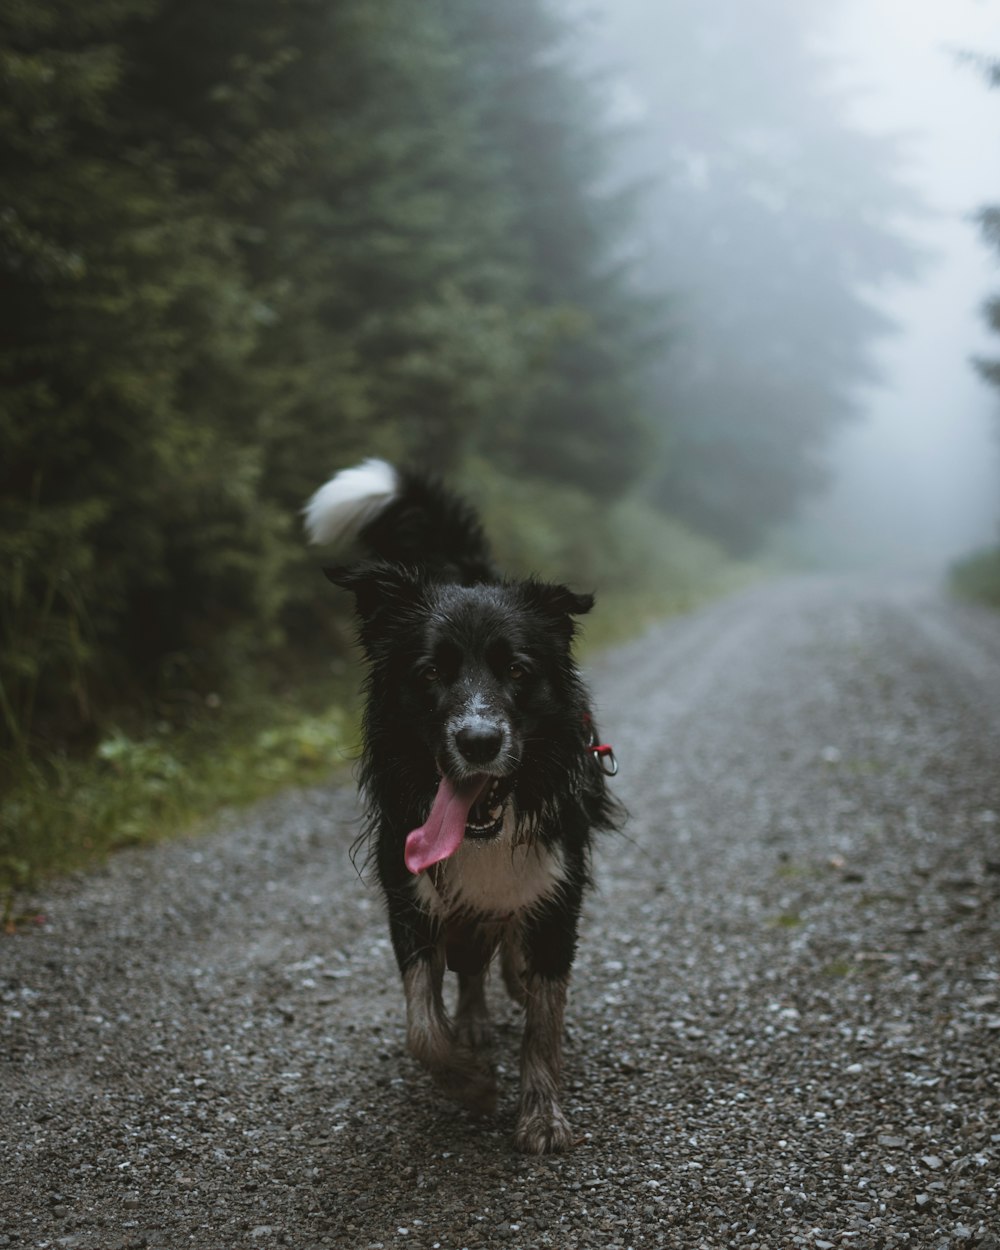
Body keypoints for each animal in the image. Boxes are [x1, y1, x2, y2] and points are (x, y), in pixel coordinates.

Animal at [301, 460, 620, 1150]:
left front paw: (541, 1112)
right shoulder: (408, 894)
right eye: (429, 674)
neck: (484, 833)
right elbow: (423, 1025)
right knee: (471, 963)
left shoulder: (559, 891)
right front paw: (470, 1081)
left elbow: (544, 1022)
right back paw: (474, 1020)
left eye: (518, 671)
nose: (479, 741)